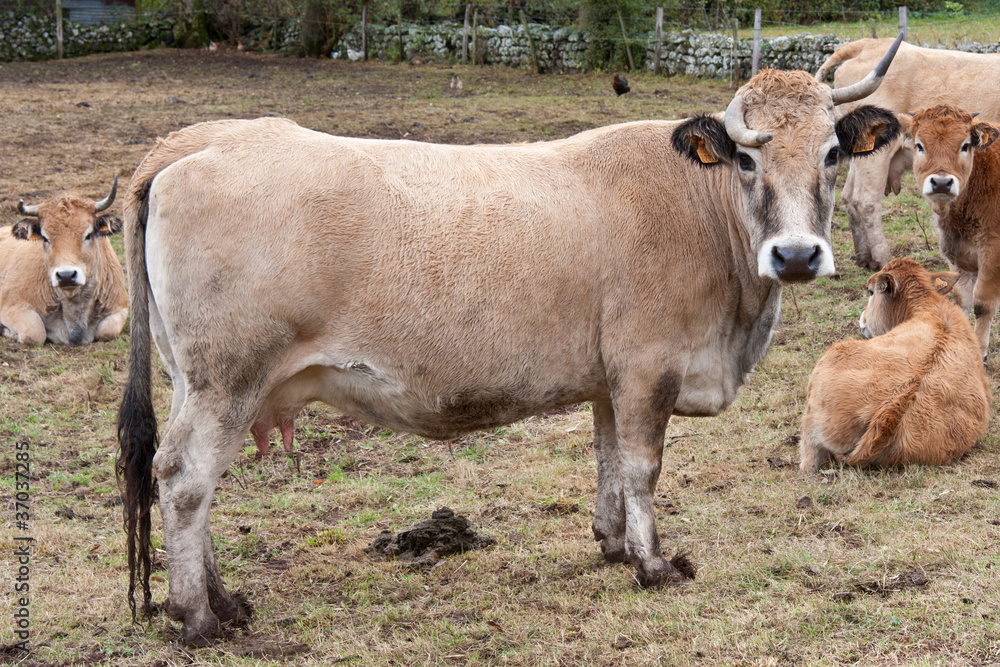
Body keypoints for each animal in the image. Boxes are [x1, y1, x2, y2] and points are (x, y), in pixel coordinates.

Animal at [0, 180, 129, 348]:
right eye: (45, 237)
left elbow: (107, 331)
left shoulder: (120, 308)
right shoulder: (12, 305)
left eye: (88, 235)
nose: (66, 275)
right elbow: (35, 333)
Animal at [812, 37, 1000, 268]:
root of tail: (868, 44)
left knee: (848, 195)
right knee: (865, 200)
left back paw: (865, 257)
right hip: (878, 155)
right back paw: (884, 259)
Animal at [900, 103, 1000, 358]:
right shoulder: (959, 257)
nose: (942, 182)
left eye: (965, 145)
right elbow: (961, 299)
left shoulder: (992, 251)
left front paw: (980, 350)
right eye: (919, 145)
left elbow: (983, 303)